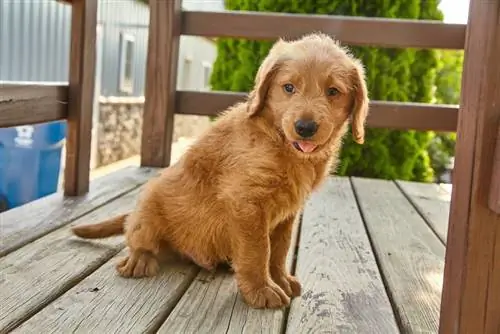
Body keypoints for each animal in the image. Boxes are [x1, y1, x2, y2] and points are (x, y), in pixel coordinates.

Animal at [73, 32, 368, 310]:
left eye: (333, 92)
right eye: (288, 87)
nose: (305, 127)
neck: (279, 142)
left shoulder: (288, 212)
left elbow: (279, 249)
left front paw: (280, 279)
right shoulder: (246, 202)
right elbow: (258, 250)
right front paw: (262, 290)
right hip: (148, 209)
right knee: (137, 237)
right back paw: (139, 260)